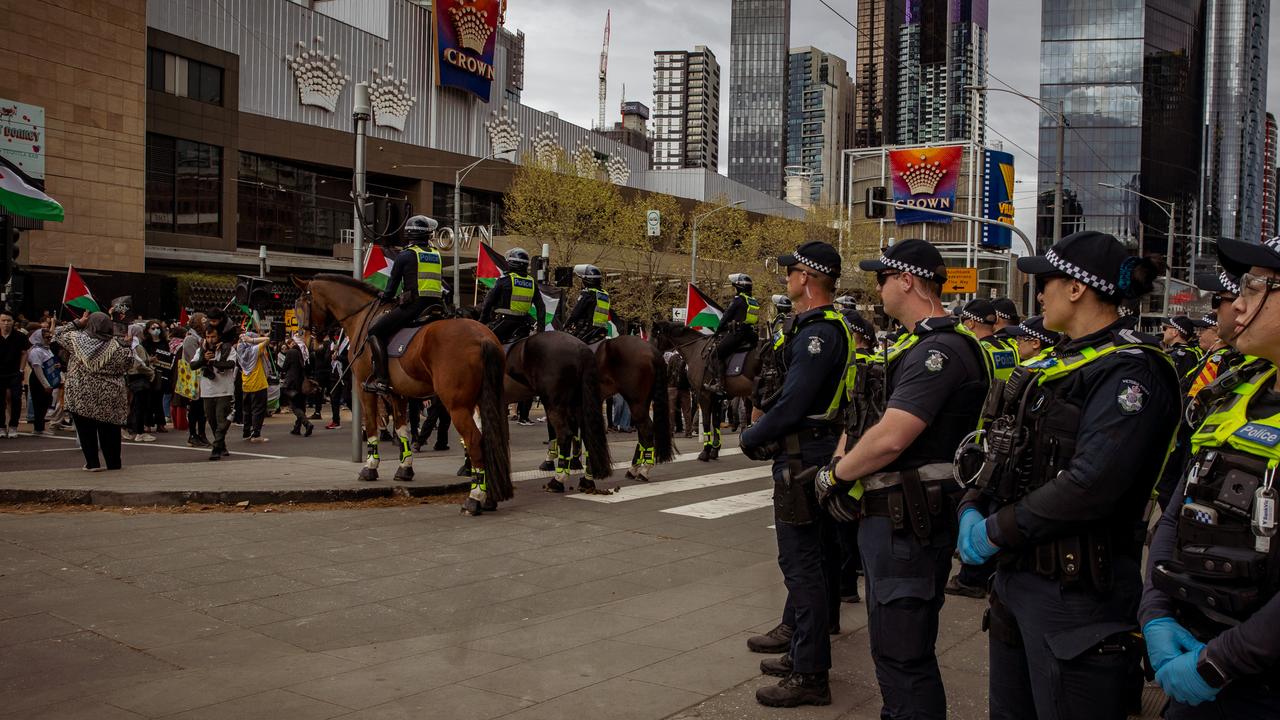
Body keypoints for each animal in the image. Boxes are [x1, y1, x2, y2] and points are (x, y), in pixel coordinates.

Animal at [293, 271, 512, 512]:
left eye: (301, 305)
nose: (306, 343)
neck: (363, 316)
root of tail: (482, 336)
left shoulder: (364, 388)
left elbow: (372, 424)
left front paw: (370, 467)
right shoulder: (397, 392)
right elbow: (401, 428)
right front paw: (405, 467)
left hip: (457, 405)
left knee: (475, 440)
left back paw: (474, 497)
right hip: (482, 399)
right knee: (490, 439)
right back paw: (487, 495)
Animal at [655, 320, 762, 458]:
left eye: (656, 334)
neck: (695, 350)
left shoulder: (703, 396)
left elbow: (706, 422)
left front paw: (705, 451)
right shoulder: (716, 398)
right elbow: (715, 422)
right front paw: (715, 449)